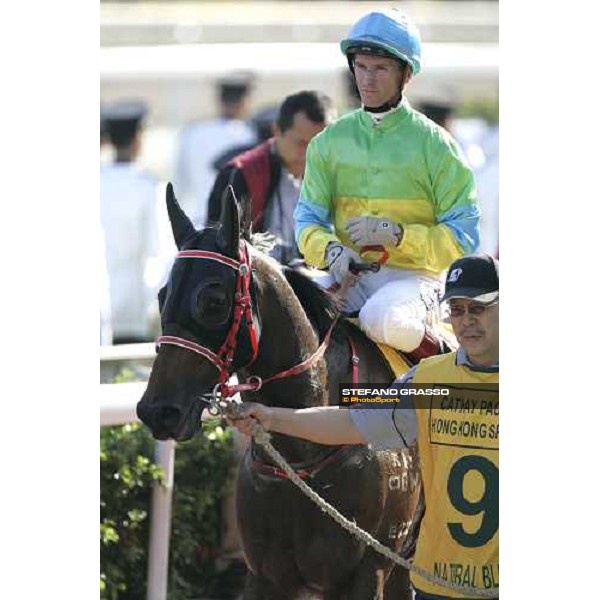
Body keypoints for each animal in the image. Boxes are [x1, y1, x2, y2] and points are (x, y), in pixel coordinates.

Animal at [138, 185, 422, 596]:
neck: (303, 455)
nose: (158, 411)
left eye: (214, 301)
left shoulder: (368, 572)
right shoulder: (265, 575)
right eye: (163, 296)